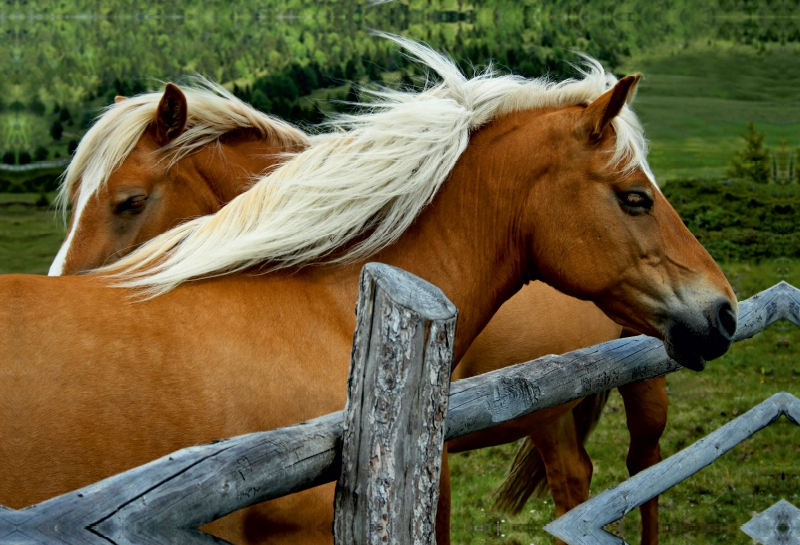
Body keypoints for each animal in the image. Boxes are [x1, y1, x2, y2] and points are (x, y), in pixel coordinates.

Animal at [10, 41, 736, 544]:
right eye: (637, 197)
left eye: (128, 201)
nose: (723, 310)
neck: (327, 302)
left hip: (633, 395)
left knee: (638, 473)